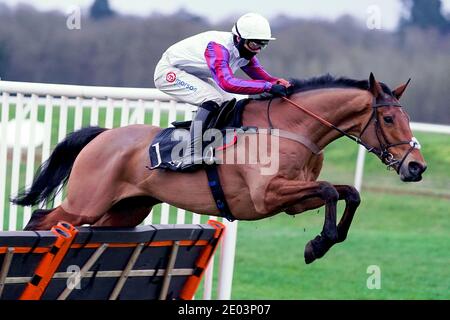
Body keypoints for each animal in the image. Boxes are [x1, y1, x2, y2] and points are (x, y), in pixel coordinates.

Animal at [10, 72, 426, 262]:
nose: (416, 167)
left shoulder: (291, 200)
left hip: (124, 211)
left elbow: (348, 193)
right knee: (42, 219)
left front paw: (323, 241)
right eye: (389, 119)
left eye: (407, 118)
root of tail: (103, 136)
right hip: (86, 202)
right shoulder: (267, 195)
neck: (291, 129)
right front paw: (318, 243)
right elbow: (327, 190)